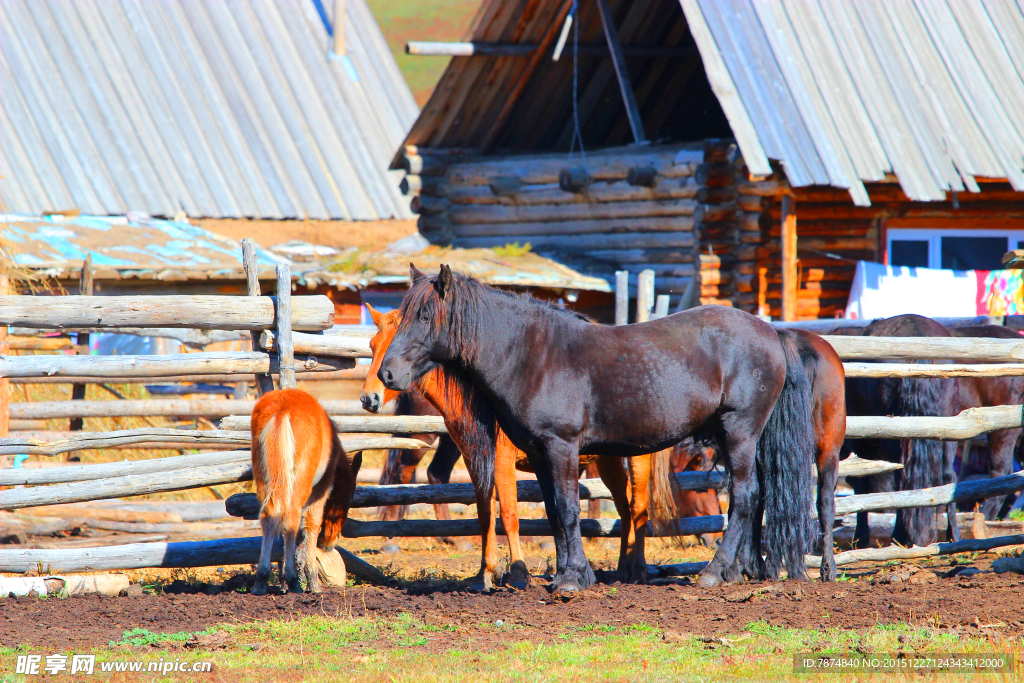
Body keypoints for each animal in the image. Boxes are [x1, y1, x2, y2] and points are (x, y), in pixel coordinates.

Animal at [251, 389, 364, 593]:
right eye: (350, 496)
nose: (328, 543)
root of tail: (282, 408)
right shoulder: (321, 490)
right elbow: (312, 524)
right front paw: (312, 580)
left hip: (264, 476)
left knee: (269, 515)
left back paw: (262, 580)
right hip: (301, 482)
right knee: (292, 517)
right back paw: (293, 579)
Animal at [382, 264, 823, 589]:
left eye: (425, 315)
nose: (388, 374)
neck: (531, 355)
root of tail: (772, 331)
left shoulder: (561, 447)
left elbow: (568, 509)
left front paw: (572, 580)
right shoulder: (540, 455)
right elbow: (553, 512)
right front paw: (567, 573)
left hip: (739, 431)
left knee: (745, 495)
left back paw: (714, 572)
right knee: (757, 496)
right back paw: (739, 570)